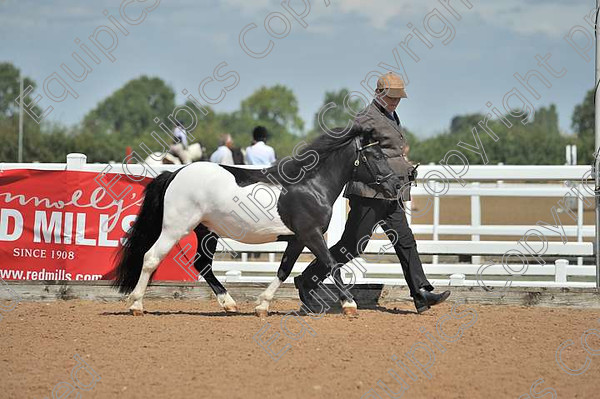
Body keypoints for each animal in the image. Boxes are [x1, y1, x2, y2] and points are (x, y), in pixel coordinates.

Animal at [112, 126, 404, 318]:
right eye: (377, 156)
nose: (397, 185)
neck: (311, 186)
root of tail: (174, 173)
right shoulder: (311, 234)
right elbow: (332, 265)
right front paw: (349, 305)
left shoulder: (297, 239)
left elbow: (284, 270)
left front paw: (262, 305)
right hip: (176, 228)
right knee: (151, 258)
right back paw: (136, 305)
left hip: (207, 231)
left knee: (202, 264)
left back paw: (229, 303)